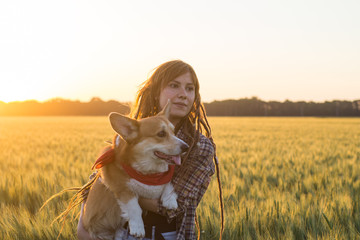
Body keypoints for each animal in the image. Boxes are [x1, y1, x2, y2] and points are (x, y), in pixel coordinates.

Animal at [81, 101, 188, 240]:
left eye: (174, 132)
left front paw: (170, 200)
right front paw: (138, 228)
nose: (186, 147)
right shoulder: (121, 188)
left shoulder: (162, 178)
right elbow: (134, 207)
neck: (148, 172)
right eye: (161, 134)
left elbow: (167, 183)